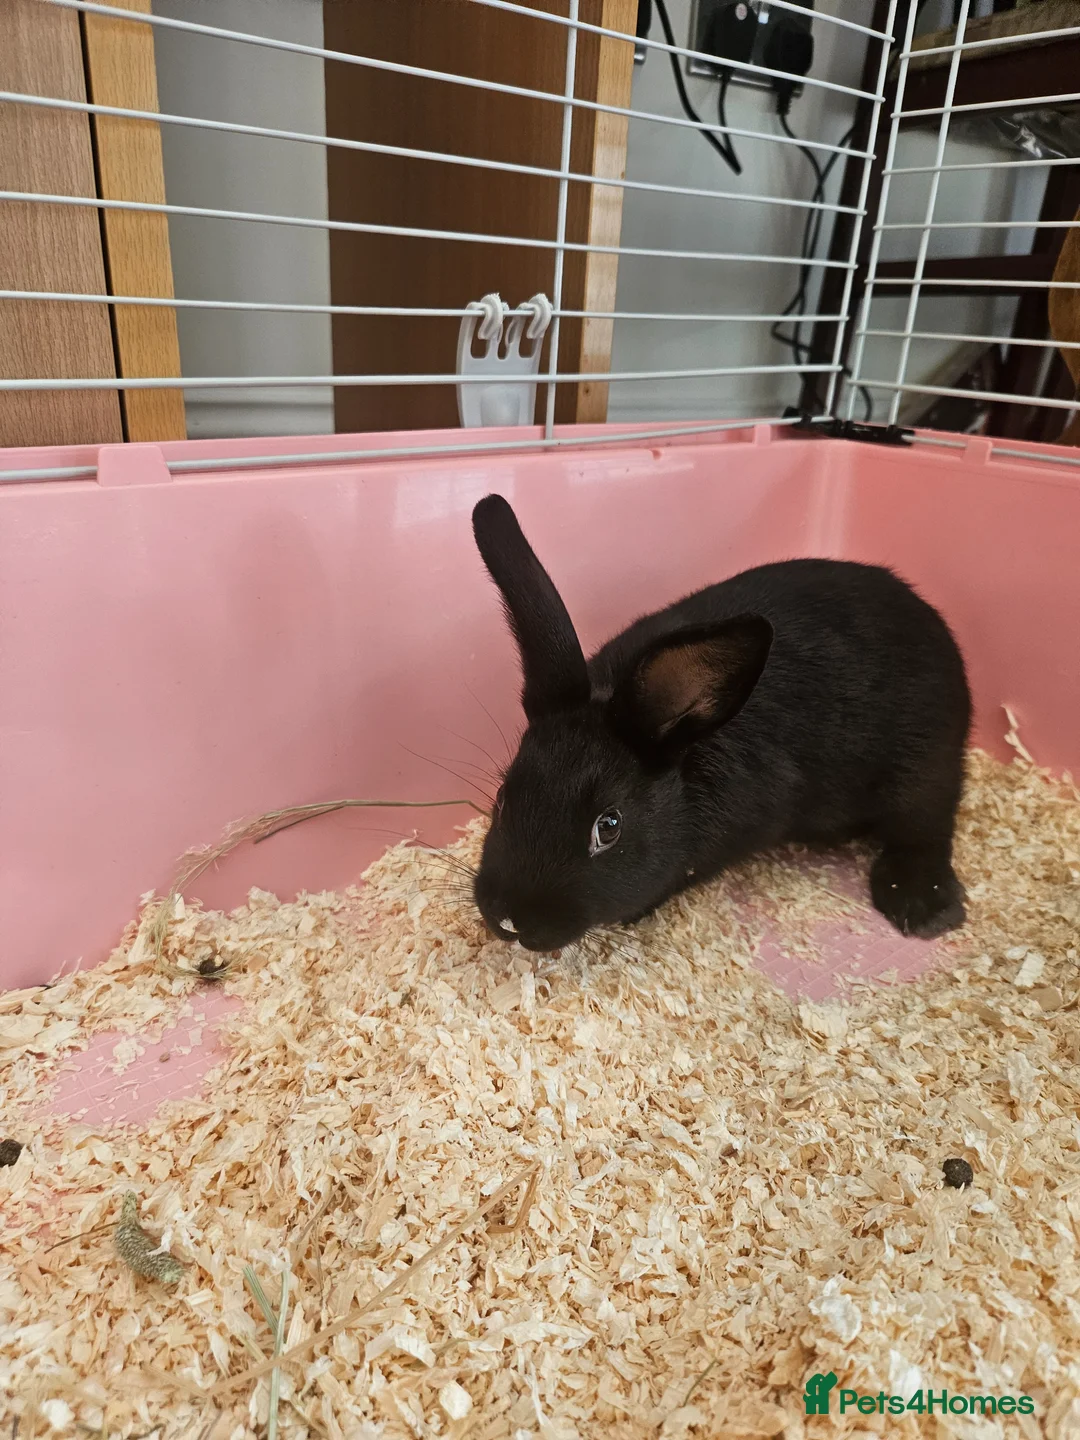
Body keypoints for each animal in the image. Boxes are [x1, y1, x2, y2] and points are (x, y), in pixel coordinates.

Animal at [470, 493, 971, 955]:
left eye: (608, 827)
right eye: (503, 797)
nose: (510, 920)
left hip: (923, 769)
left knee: (927, 825)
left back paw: (921, 906)